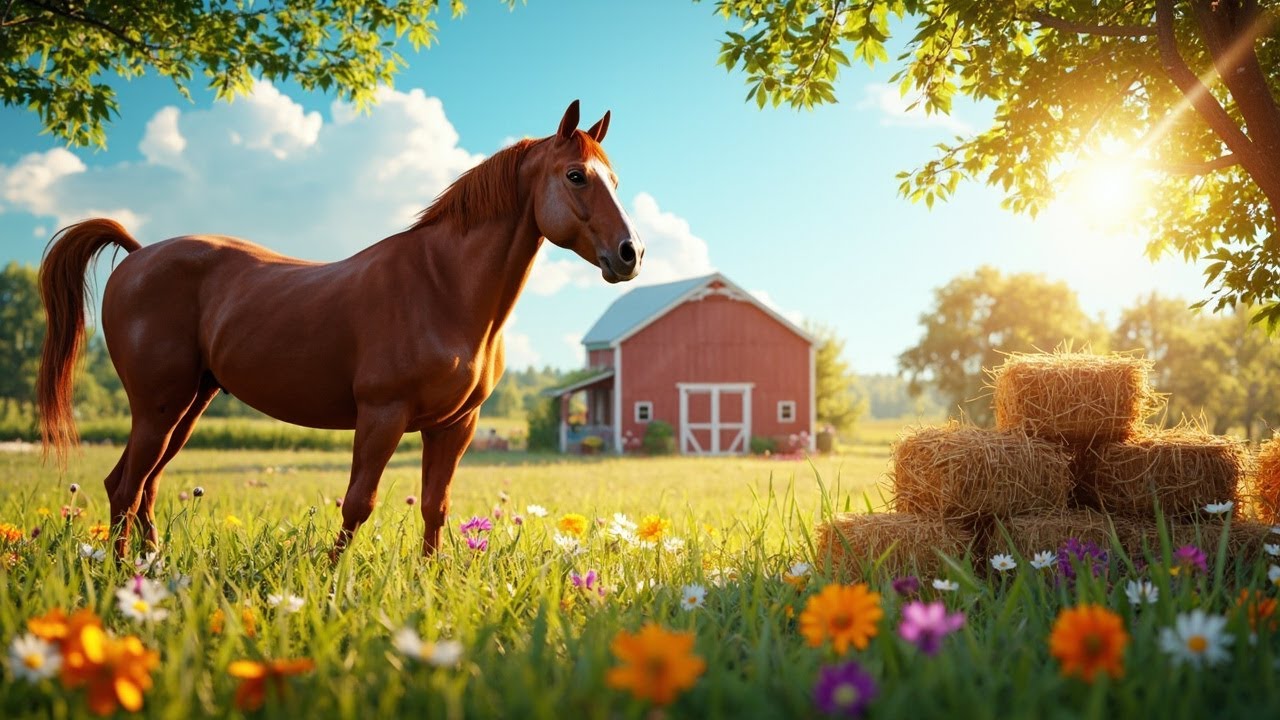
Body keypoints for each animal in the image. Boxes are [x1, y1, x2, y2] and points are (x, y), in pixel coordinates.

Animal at [36, 100, 643, 559]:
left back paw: (151, 567)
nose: (630, 254)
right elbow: (358, 503)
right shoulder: (381, 416)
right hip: (157, 408)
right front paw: (332, 579)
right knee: (125, 488)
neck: (442, 288)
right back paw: (126, 578)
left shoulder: (454, 426)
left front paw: (430, 581)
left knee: (142, 488)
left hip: (187, 407)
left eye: (614, 179)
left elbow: (435, 507)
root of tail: (139, 255)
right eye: (576, 176)